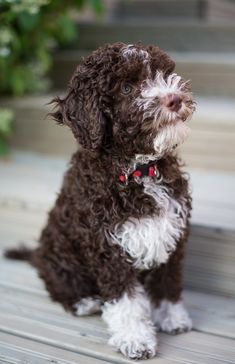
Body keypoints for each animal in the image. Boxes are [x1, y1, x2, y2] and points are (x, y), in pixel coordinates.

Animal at [5, 42, 196, 358]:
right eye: (127, 88)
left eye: (162, 73)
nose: (174, 99)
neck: (138, 171)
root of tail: (37, 255)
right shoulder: (108, 246)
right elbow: (126, 300)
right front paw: (136, 339)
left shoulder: (171, 231)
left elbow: (167, 280)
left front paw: (171, 317)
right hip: (58, 258)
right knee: (59, 285)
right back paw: (85, 302)